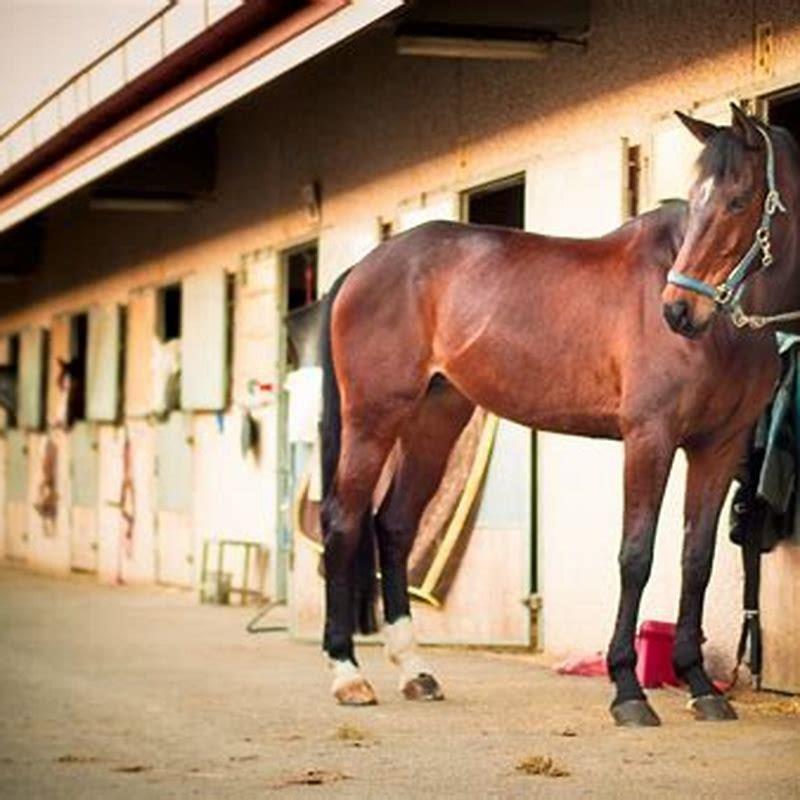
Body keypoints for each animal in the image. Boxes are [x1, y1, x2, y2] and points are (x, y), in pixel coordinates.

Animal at [317, 107, 792, 726]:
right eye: (696, 200)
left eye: (737, 200)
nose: (678, 311)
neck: (727, 332)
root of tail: (362, 267)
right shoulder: (650, 437)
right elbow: (635, 556)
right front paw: (628, 690)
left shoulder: (719, 446)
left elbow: (697, 559)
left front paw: (700, 687)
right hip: (373, 419)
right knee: (343, 522)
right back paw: (347, 673)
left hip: (434, 421)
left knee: (394, 526)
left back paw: (415, 671)